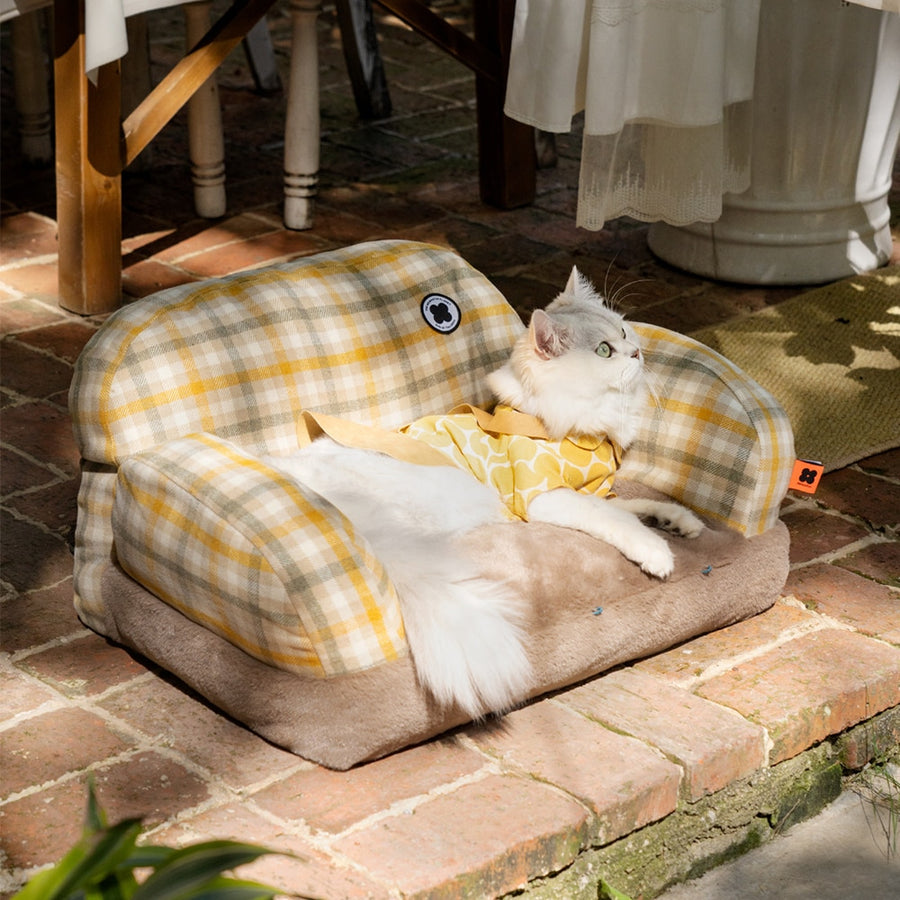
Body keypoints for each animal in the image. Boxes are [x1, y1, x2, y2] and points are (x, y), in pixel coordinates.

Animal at [264, 268, 708, 716]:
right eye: (604, 350)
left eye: (623, 330)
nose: (636, 352)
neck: (579, 427)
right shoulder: (548, 496)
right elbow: (618, 520)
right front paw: (657, 552)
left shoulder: (594, 491)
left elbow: (638, 505)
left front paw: (678, 521)